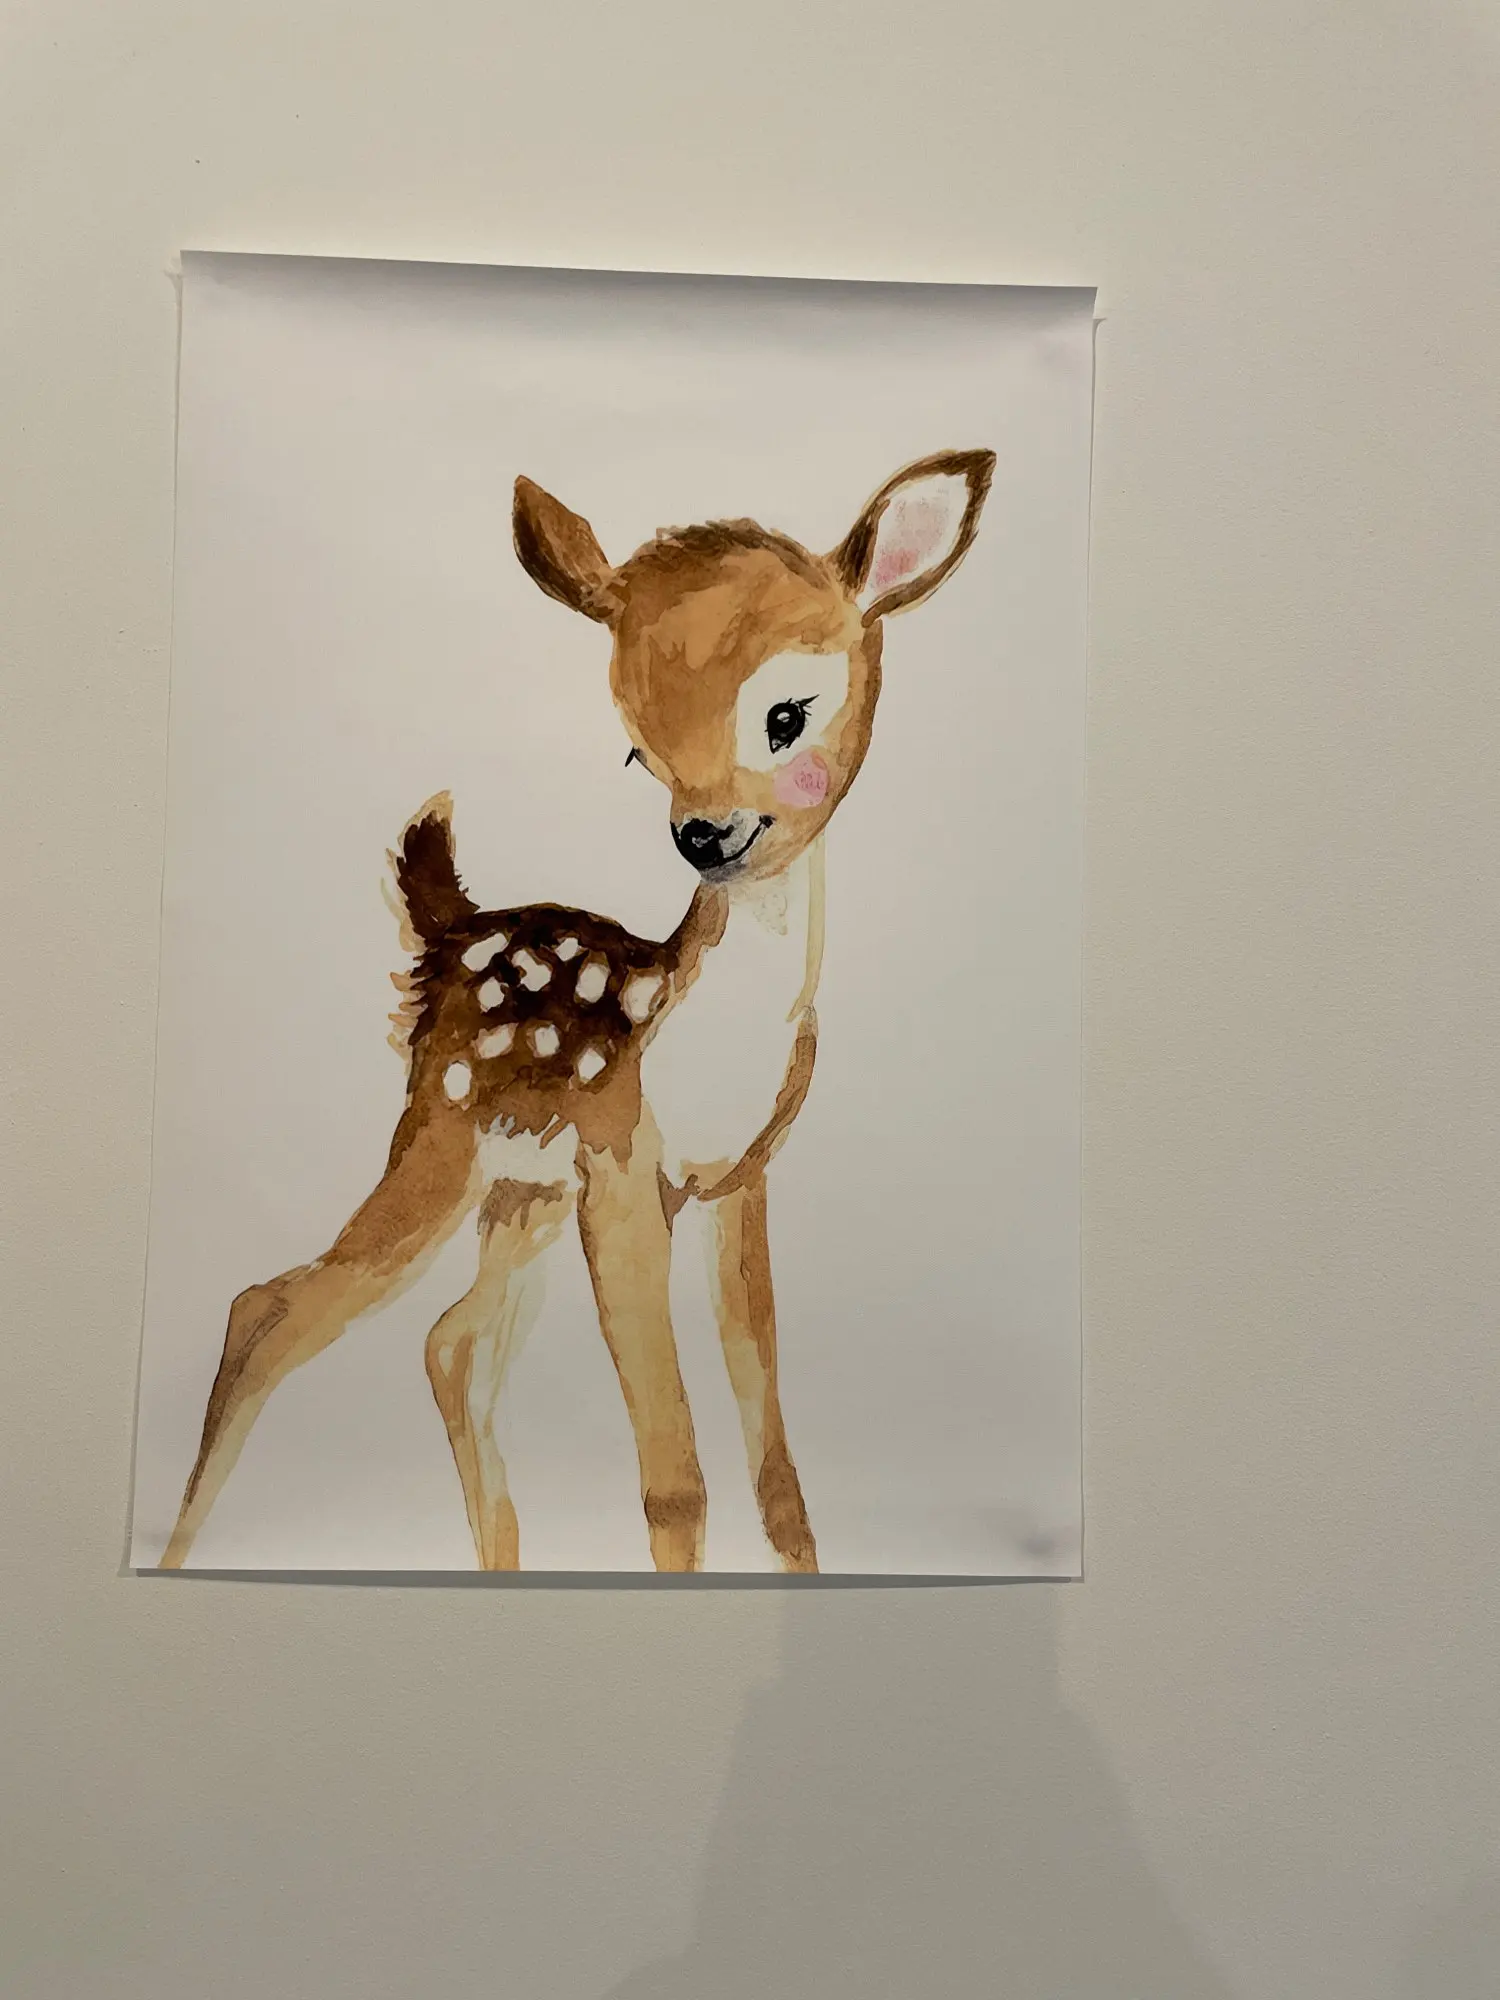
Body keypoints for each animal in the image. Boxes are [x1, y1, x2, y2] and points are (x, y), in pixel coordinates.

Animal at [159, 446, 996, 1574]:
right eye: (636, 746)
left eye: (785, 714)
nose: (705, 833)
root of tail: (446, 929)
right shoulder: (622, 1156)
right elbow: (674, 1475)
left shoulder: (737, 1179)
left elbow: (775, 1469)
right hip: (446, 1136)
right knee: (272, 1306)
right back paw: (179, 1546)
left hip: (524, 1192)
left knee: (450, 1343)